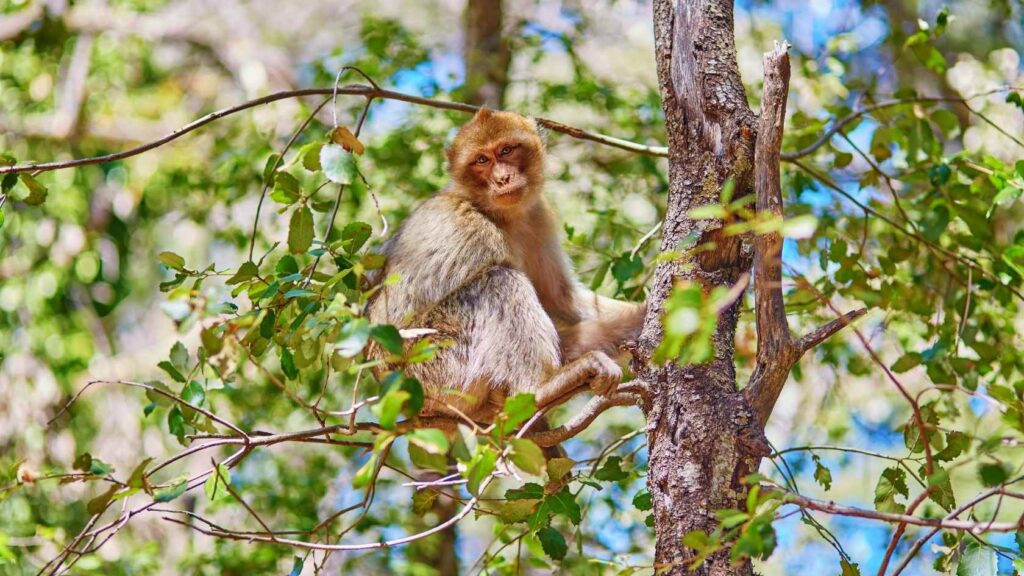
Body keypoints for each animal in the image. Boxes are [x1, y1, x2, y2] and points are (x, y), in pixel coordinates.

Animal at [366, 108, 646, 425]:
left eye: (506, 150)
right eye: (481, 160)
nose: (502, 178)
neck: (499, 215)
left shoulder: (538, 216)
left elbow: (562, 300)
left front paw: (649, 310)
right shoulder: (473, 230)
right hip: (434, 369)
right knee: (498, 280)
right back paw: (541, 387)